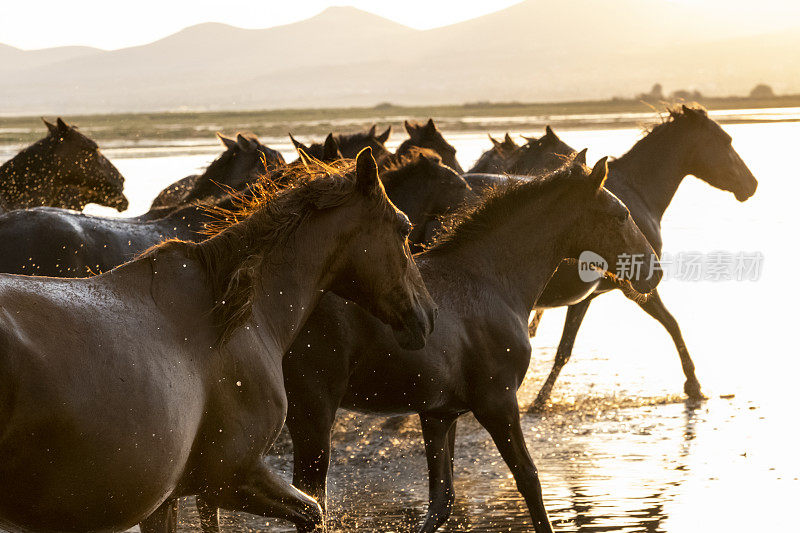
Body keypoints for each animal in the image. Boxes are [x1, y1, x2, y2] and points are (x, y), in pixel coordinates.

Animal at [0, 147, 438, 532]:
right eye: (404, 228)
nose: (429, 315)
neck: (237, 319)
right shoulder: (232, 479)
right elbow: (313, 512)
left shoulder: (168, 501)